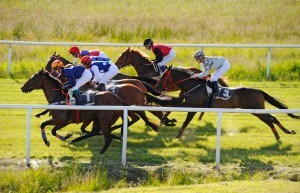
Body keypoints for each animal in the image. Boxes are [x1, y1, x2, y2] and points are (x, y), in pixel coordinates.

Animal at [20, 70, 159, 153]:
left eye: (33, 78)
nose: (22, 87)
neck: (59, 97)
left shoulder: (62, 120)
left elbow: (45, 125)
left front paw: (49, 141)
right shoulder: (66, 121)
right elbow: (53, 129)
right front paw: (67, 136)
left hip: (105, 118)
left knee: (109, 133)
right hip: (99, 118)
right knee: (97, 131)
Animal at [148, 66, 300, 140]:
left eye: (163, 76)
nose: (158, 87)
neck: (194, 85)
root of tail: (258, 90)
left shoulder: (191, 105)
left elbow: (175, 108)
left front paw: (165, 120)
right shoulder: (191, 105)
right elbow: (178, 112)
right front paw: (175, 131)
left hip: (255, 110)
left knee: (269, 119)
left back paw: (279, 134)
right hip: (256, 110)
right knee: (272, 117)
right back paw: (286, 131)